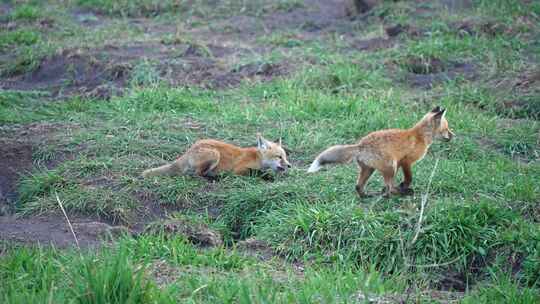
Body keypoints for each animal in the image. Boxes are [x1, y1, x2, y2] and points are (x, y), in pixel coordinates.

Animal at [142, 134, 292, 178]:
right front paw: (267, 177)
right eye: (279, 157)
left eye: (285, 157)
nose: (290, 165)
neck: (257, 158)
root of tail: (190, 149)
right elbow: (257, 173)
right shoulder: (239, 170)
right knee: (197, 174)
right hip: (215, 154)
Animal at [306, 107, 454, 197]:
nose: (454, 136)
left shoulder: (399, 163)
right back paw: (400, 193)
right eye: (447, 129)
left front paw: (400, 186)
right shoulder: (405, 161)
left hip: (370, 169)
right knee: (389, 187)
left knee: (359, 186)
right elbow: (408, 178)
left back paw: (368, 196)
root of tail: (360, 145)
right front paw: (404, 186)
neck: (420, 136)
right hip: (390, 166)